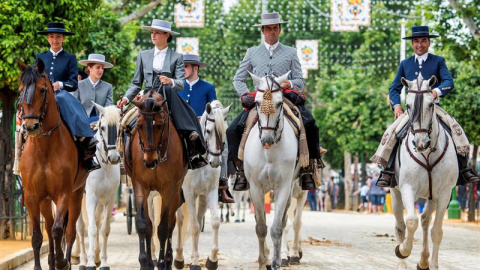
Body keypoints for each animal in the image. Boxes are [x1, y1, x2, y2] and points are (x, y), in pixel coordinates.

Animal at [17, 59, 88, 270]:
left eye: (42, 90)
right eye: (20, 89)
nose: (30, 126)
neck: (44, 148)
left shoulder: (63, 193)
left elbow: (58, 230)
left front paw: (61, 261)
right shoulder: (32, 196)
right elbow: (37, 236)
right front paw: (42, 265)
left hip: (76, 194)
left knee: (69, 230)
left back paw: (64, 260)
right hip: (45, 200)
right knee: (48, 227)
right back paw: (51, 261)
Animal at [124, 89, 188, 270]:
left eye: (160, 125)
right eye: (139, 125)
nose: (150, 161)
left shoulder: (169, 188)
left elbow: (163, 227)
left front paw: (160, 262)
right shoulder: (140, 186)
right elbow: (143, 224)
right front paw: (145, 262)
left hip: (175, 191)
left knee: (171, 222)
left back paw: (168, 260)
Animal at [244, 71, 300, 270]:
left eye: (280, 103)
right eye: (257, 103)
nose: (267, 139)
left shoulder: (283, 187)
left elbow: (277, 228)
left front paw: (276, 262)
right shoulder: (255, 187)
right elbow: (261, 227)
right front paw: (263, 262)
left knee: (284, 222)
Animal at [390, 74, 458, 270]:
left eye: (431, 104)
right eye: (407, 105)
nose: (421, 143)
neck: (427, 153)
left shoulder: (444, 193)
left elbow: (436, 231)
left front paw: (432, 264)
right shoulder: (407, 187)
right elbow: (411, 221)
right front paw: (403, 251)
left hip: (432, 195)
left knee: (426, 221)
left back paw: (423, 260)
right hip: (395, 193)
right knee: (400, 226)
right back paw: (402, 262)